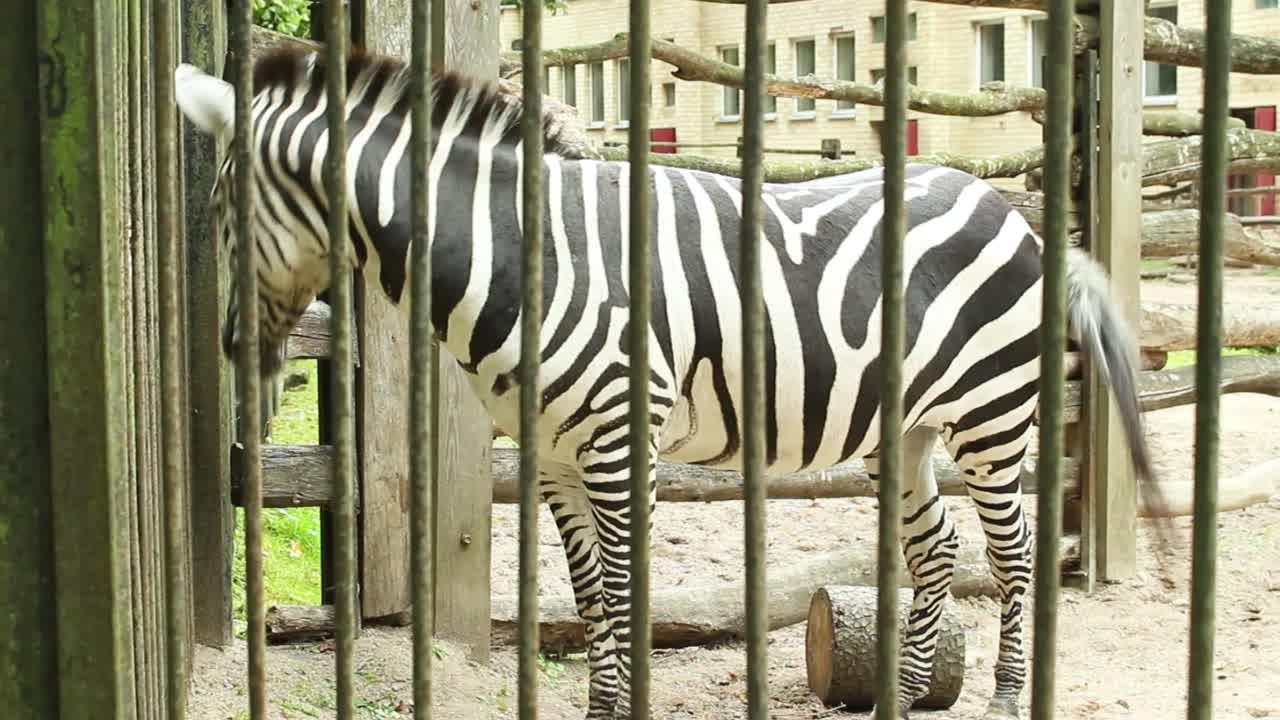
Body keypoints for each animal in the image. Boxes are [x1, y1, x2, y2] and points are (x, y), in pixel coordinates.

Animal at [174, 47, 1159, 720]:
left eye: (219, 207)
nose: (228, 346)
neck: (519, 255)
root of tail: (1013, 211)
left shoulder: (620, 442)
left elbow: (619, 589)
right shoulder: (553, 457)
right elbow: (586, 597)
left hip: (993, 414)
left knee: (1014, 553)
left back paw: (1005, 695)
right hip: (905, 429)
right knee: (938, 551)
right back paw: (901, 698)